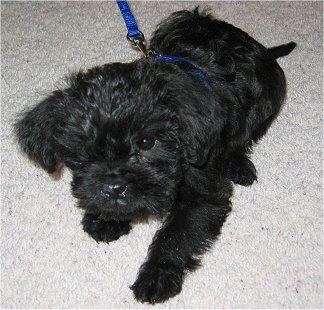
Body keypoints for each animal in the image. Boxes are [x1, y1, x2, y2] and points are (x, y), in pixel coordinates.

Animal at [13, 7, 294, 306]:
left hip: (265, 98)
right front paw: (104, 218)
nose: (113, 187)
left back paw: (239, 164)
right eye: (82, 150)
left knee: (248, 134)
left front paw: (157, 275)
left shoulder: (202, 194)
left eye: (147, 142)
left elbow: (176, 234)